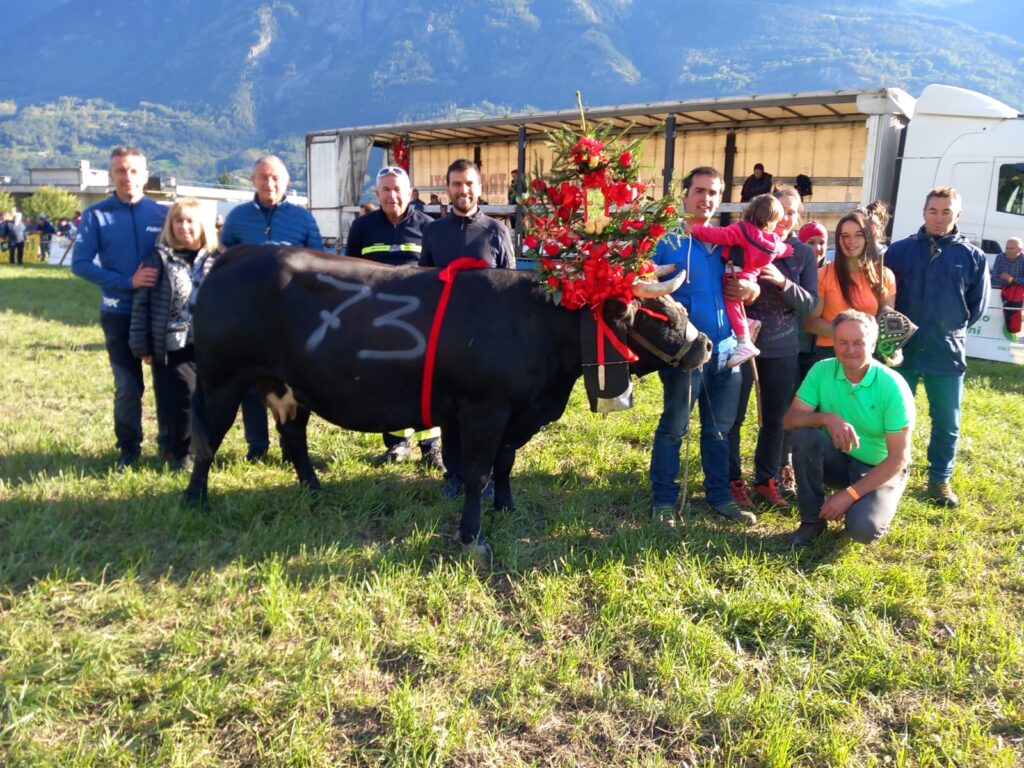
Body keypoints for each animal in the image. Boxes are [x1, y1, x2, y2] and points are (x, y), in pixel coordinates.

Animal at [186, 246, 712, 552]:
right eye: (658, 311)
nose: (706, 345)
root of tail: (241, 252)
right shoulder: (485, 408)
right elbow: (477, 473)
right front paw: (472, 536)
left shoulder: (515, 413)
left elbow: (504, 464)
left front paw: (507, 509)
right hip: (221, 378)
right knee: (206, 438)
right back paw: (195, 501)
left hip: (288, 386)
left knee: (293, 437)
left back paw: (314, 491)